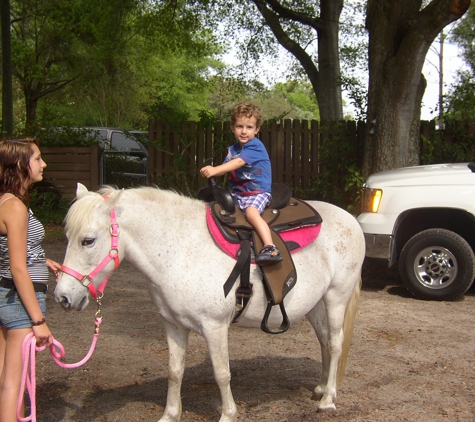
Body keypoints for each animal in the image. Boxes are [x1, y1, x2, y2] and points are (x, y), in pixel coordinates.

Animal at [56, 183, 368, 420]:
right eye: (67, 236)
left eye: (87, 240)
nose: (63, 297)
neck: (180, 249)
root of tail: (350, 219)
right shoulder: (173, 325)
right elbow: (174, 371)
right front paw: (170, 414)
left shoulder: (214, 326)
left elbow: (221, 373)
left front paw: (228, 414)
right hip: (315, 305)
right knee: (325, 340)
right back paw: (322, 387)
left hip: (336, 297)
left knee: (336, 343)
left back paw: (328, 399)